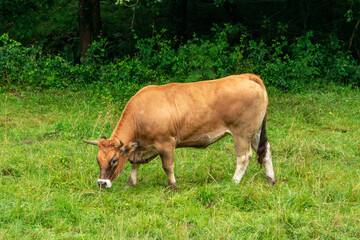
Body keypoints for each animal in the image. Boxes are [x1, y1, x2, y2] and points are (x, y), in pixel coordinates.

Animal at [83, 74, 276, 188]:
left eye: (114, 160)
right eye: (98, 159)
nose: (101, 183)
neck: (141, 113)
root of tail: (246, 76)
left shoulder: (166, 143)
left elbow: (167, 166)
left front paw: (173, 186)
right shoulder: (138, 147)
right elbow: (134, 163)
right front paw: (131, 183)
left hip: (242, 133)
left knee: (243, 157)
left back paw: (234, 182)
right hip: (255, 132)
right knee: (266, 151)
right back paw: (271, 180)